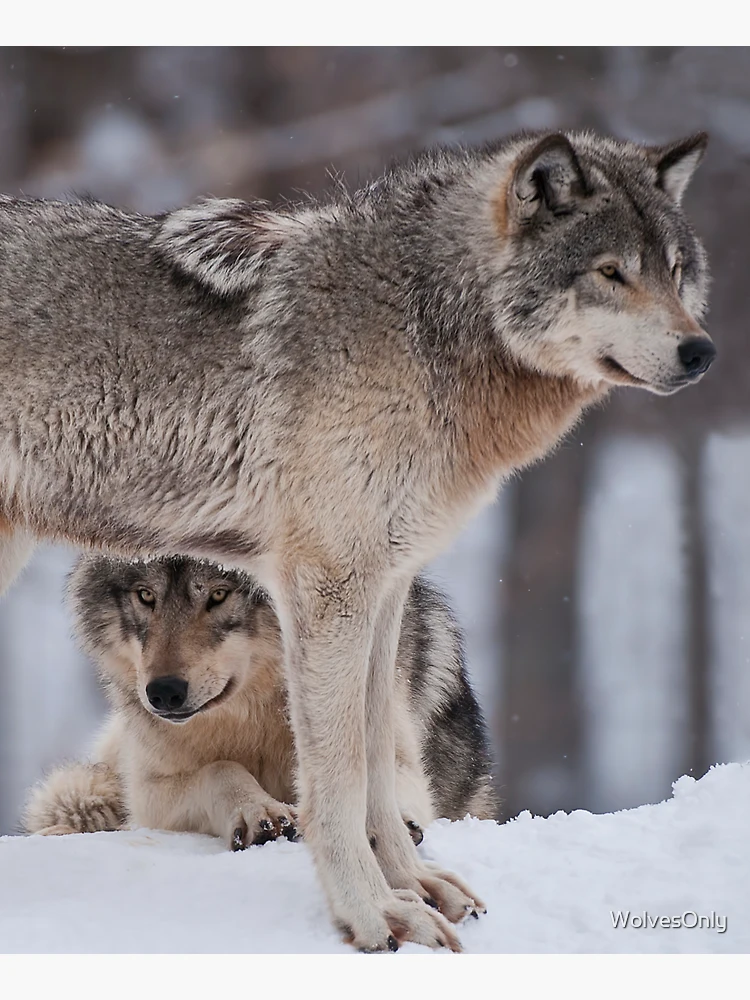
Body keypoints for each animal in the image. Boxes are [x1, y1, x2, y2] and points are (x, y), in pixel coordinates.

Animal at [23, 555, 496, 858]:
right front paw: (260, 811)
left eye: (219, 594)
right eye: (145, 596)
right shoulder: (149, 792)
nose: (164, 693)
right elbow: (220, 769)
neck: (256, 715)